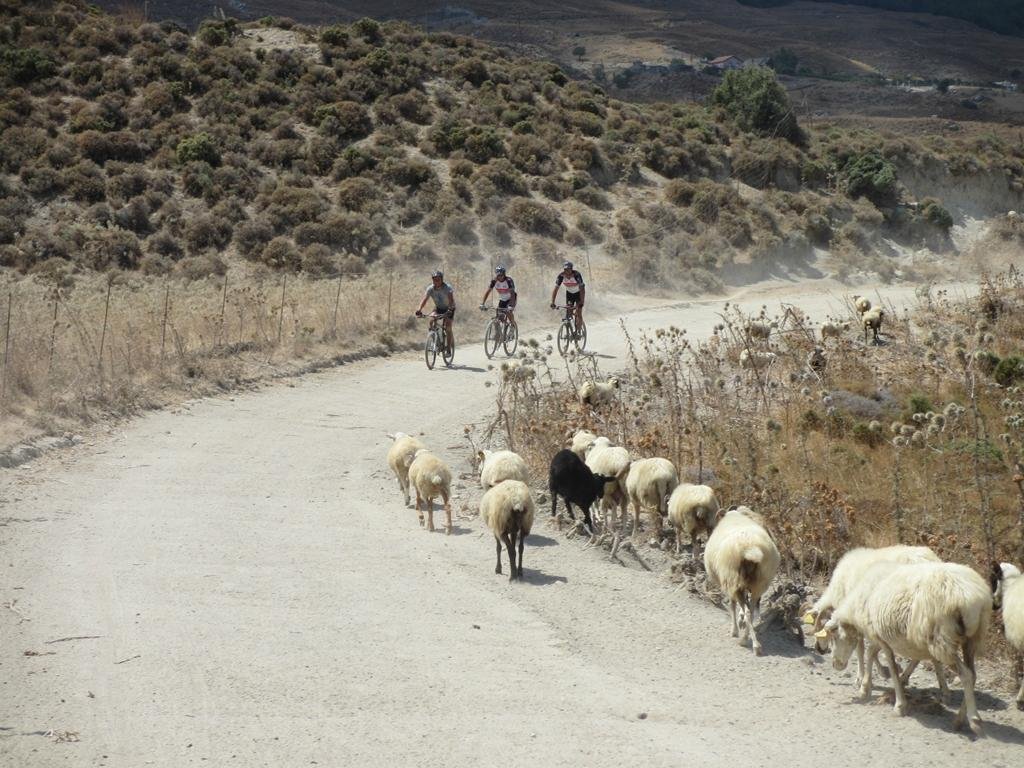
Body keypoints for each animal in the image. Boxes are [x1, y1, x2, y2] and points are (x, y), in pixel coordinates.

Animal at [704, 505, 782, 655]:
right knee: (750, 612)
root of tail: (751, 549)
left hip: (733, 580)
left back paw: (749, 643)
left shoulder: (729, 585)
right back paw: (750, 639)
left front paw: (734, 630)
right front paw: (739, 624)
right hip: (759, 584)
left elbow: (732, 606)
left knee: (747, 611)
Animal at [815, 565, 991, 733]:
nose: (835, 664)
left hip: (941, 641)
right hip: (972, 640)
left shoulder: (880, 637)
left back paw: (974, 720)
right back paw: (960, 720)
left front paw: (899, 705)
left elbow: (891, 668)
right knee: (973, 674)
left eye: (834, 637)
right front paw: (865, 688)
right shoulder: (878, 635)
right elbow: (871, 653)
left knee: (966, 674)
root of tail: (968, 596)